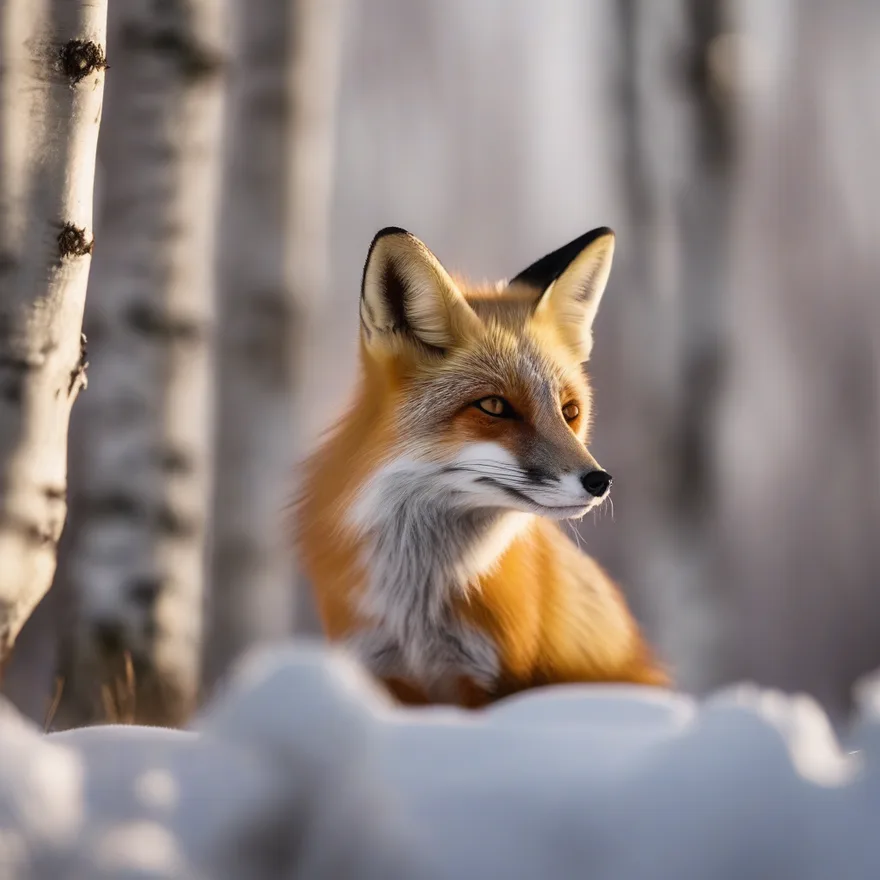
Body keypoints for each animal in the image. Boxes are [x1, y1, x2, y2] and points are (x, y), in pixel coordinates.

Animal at [296, 225, 670, 708]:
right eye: (494, 406)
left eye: (569, 411)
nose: (599, 481)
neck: (417, 606)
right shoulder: (379, 667)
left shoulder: (486, 676)